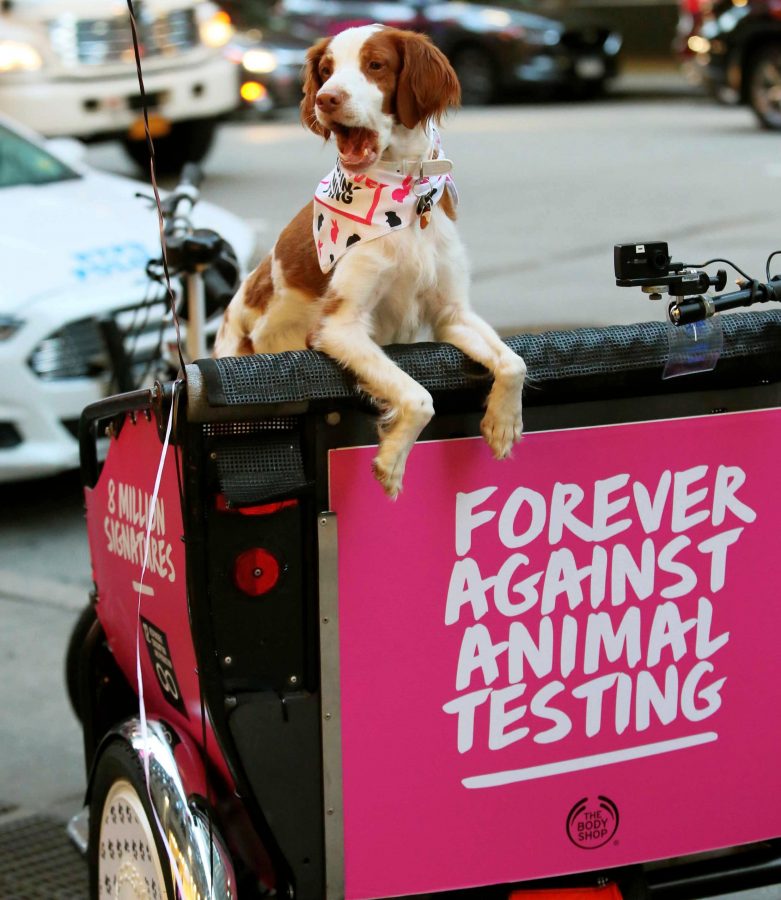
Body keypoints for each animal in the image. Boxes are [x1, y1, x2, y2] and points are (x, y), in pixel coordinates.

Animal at [213, 24, 524, 500]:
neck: (406, 195)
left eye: (375, 64)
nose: (326, 98)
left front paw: (503, 424)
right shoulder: (339, 327)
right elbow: (418, 397)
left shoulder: (451, 314)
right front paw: (392, 460)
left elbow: (514, 363)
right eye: (325, 71)